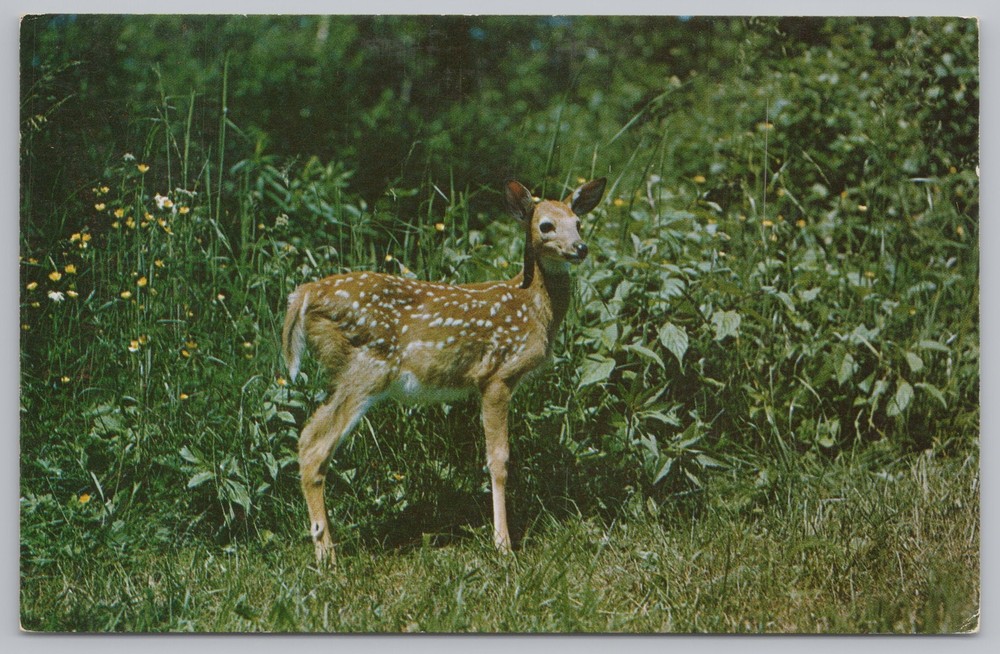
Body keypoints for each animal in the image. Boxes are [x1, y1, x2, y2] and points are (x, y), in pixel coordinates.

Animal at [282, 177, 607, 564]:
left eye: (579, 223)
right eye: (546, 225)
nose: (580, 248)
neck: (531, 306)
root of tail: (304, 294)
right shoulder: (496, 375)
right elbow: (498, 460)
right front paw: (503, 543)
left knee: (307, 438)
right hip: (366, 368)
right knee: (314, 445)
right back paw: (327, 555)